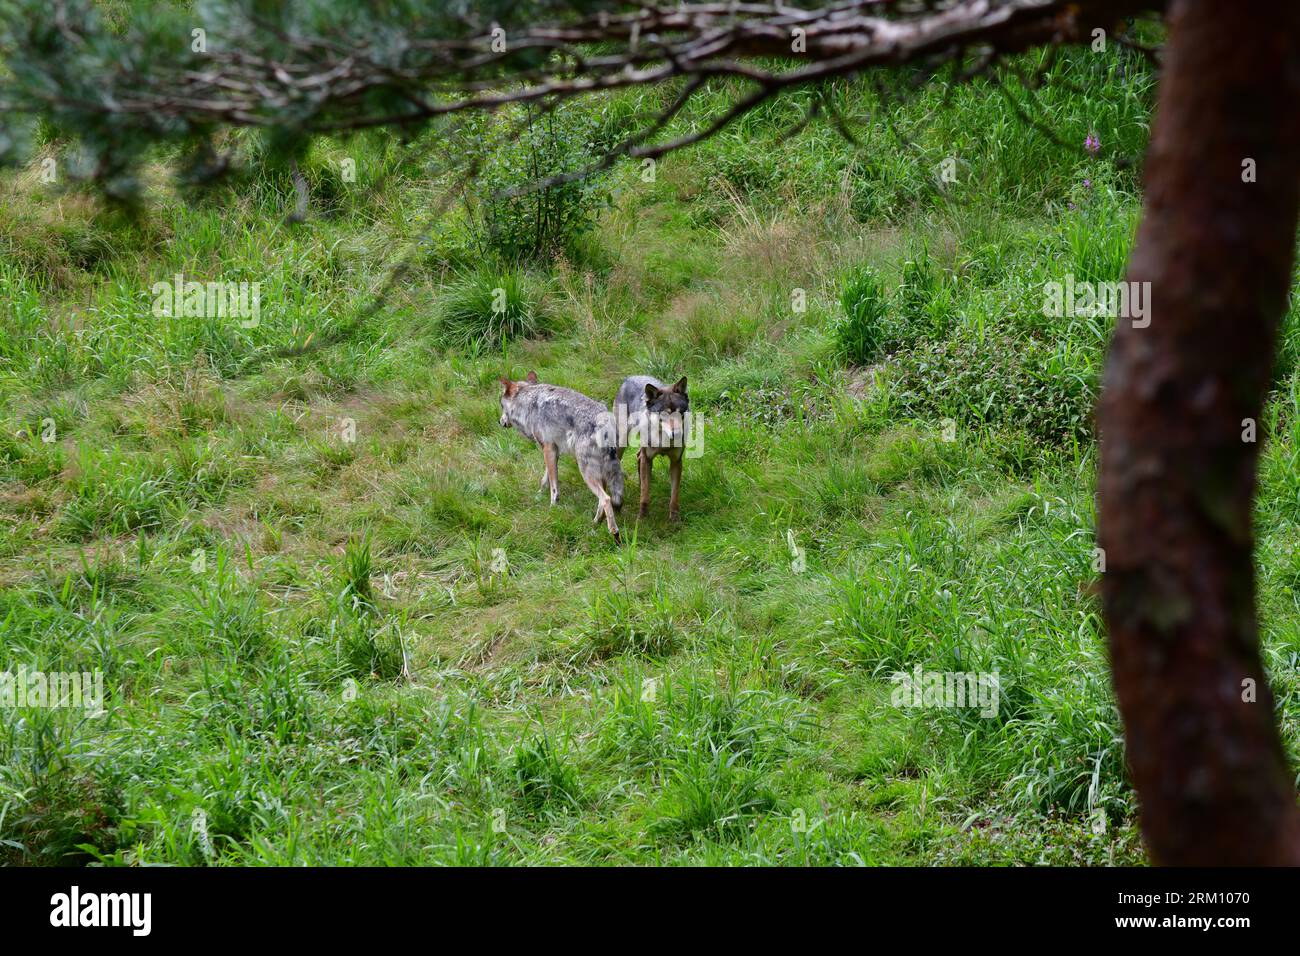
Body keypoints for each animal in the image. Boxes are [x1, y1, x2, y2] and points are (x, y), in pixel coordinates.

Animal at [499, 371, 625, 542]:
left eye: (500, 405)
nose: (500, 421)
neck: (528, 402)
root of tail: (604, 421)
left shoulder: (548, 450)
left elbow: (554, 487)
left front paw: (552, 508)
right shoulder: (553, 452)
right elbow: (545, 479)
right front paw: (539, 495)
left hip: (586, 472)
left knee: (606, 499)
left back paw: (614, 533)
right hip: (601, 473)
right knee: (603, 499)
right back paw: (594, 524)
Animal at [614, 375, 689, 521]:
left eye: (680, 413)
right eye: (664, 414)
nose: (677, 434)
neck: (663, 440)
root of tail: (629, 378)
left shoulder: (676, 462)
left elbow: (674, 495)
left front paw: (674, 518)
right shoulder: (647, 459)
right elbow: (645, 494)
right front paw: (642, 518)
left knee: (638, 456)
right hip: (622, 441)